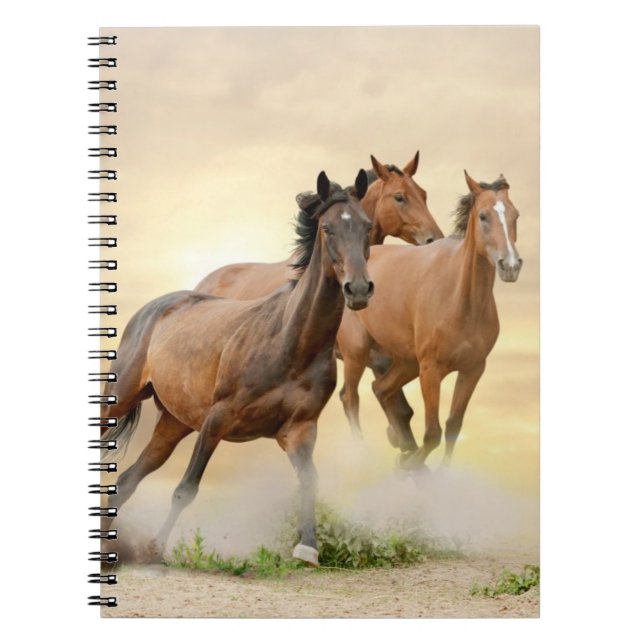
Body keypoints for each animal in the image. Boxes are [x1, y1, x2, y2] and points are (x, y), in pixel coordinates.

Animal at [101, 170, 373, 566]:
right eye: (328, 228)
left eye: (367, 226)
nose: (359, 289)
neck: (290, 343)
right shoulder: (217, 420)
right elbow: (186, 489)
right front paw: (155, 548)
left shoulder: (300, 431)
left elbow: (310, 482)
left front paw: (307, 548)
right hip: (121, 399)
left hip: (173, 424)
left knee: (126, 481)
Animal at [337, 171, 523, 469]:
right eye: (483, 216)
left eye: (516, 215)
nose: (511, 266)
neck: (461, 301)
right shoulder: (431, 370)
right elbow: (433, 433)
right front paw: (410, 464)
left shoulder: (473, 369)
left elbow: (453, 427)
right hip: (357, 352)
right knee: (350, 397)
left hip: (405, 361)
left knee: (381, 390)